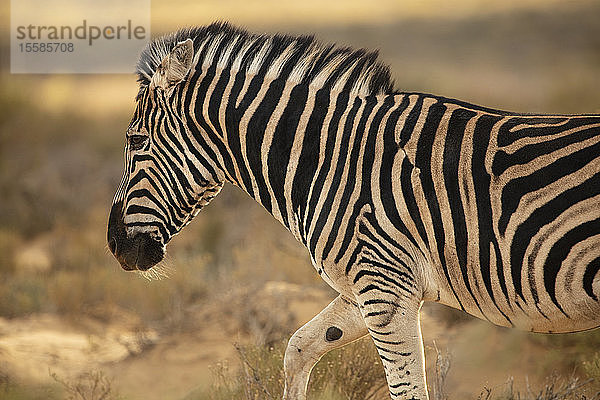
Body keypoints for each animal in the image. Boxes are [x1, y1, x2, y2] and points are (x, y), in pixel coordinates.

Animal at [106, 22, 600, 400]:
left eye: (135, 140)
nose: (114, 245)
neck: (330, 158)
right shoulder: (363, 287)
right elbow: (297, 348)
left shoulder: (386, 291)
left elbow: (407, 392)